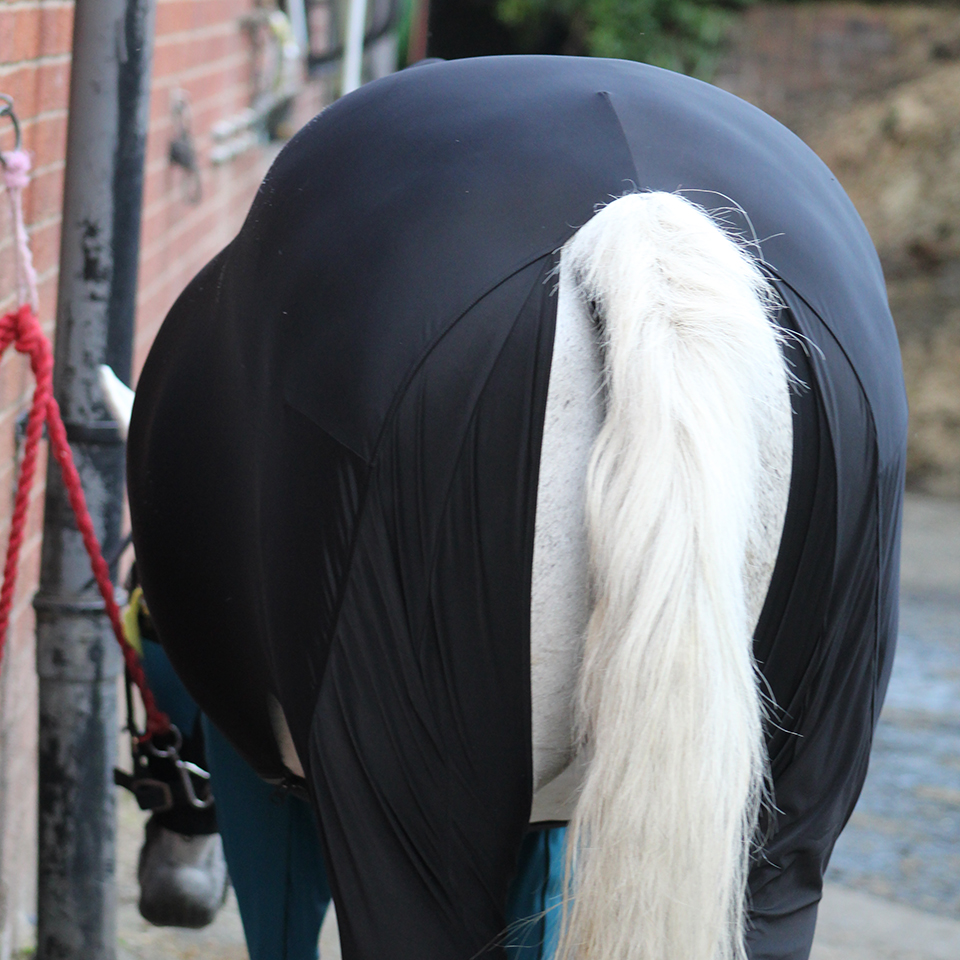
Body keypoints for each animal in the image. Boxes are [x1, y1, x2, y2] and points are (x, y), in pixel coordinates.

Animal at [123, 56, 907, 960]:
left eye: (148, 639)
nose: (175, 895)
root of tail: (643, 220)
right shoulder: (548, 827)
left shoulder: (271, 785)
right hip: (790, 818)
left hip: (402, 799)